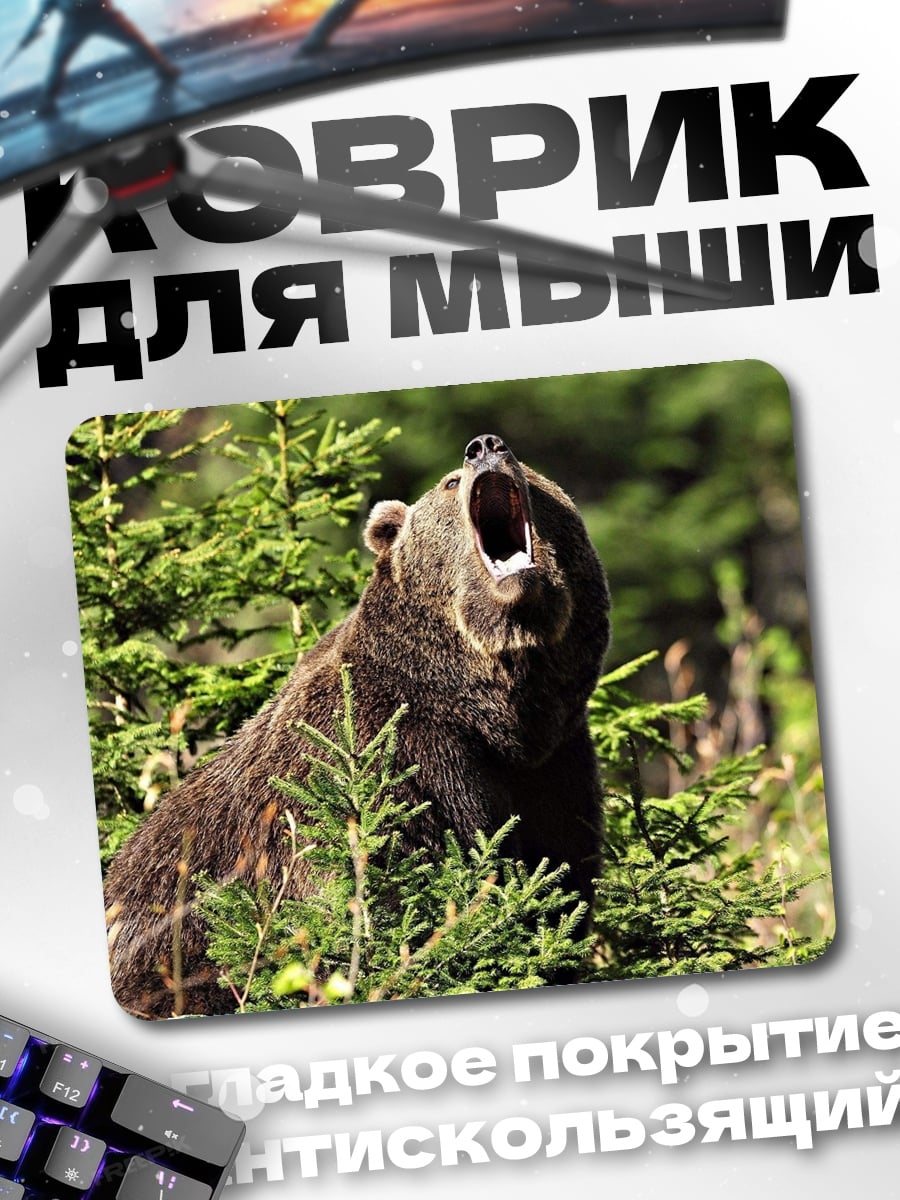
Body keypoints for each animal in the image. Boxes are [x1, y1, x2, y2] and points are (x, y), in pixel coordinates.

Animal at [103, 433, 611, 1018]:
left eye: (529, 471)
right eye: (450, 483)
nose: (486, 446)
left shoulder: (555, 763)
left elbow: (558, 880)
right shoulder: (387, 755)